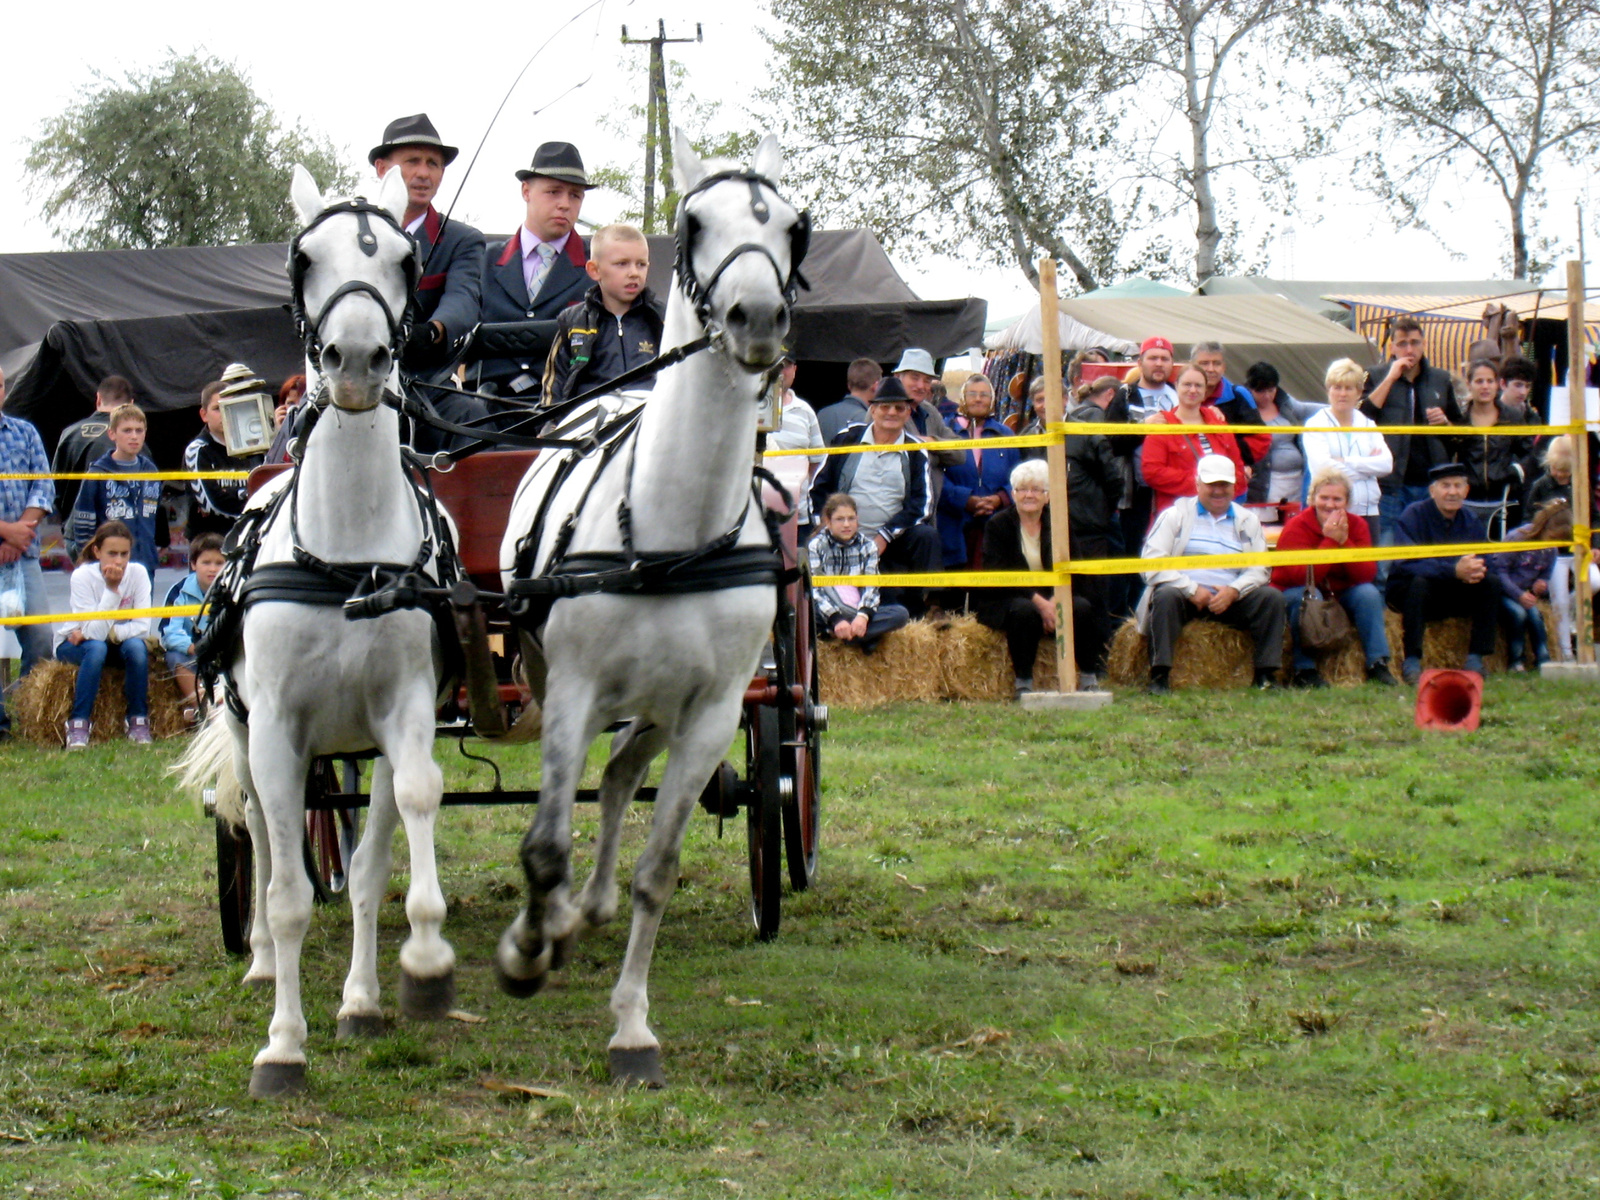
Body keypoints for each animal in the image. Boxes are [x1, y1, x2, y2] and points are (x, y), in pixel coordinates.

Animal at [182, 164, 457, 1107]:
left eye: (407, 261)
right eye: (304, 259)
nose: (359, 363)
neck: (344, 558)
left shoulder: (403, 715)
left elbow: (390, 847)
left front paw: (395, 982)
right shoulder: (277, 728)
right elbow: (290, 889)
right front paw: (283, 1046)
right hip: (247, 731)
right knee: (266, 843)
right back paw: (264, 961)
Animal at [492, 133, 806, 1088]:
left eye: (793, 226)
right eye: (694, 222)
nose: (755, 318)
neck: (672, 525)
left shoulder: (713, 710)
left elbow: (658, 867)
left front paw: (632, 1026)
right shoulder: (574, 690)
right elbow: (543, 842)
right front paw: (528, 950)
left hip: (670, 701)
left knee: (626, 771)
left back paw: (588, 907)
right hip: (557, 677)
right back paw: (559, 918)